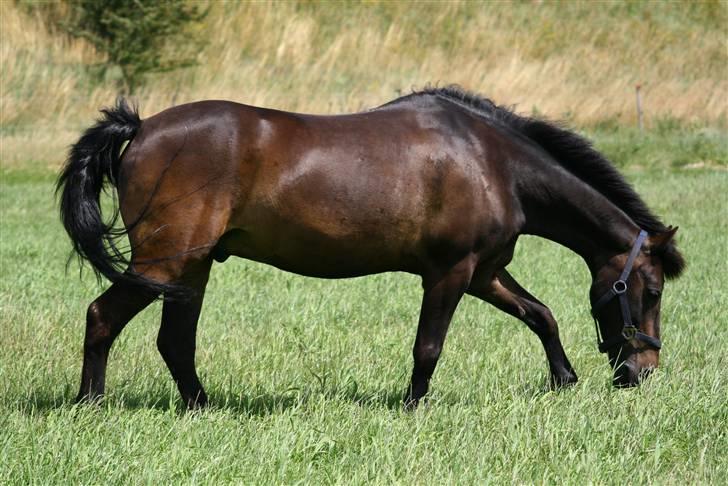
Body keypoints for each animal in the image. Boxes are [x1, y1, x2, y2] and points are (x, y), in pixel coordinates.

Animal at [57, 87, 684, 410]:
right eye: (650, 290)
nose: (643, 373)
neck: (493, 163)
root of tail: (139, 129)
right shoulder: (450, 274)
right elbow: (428, 347)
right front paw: (413, 406)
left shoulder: (484, 273)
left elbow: (542, 315)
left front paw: (564, 380)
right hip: (163, 263)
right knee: (102, 317)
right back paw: (91, 404)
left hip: (190, 268)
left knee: (173, 342)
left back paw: (200, 406)